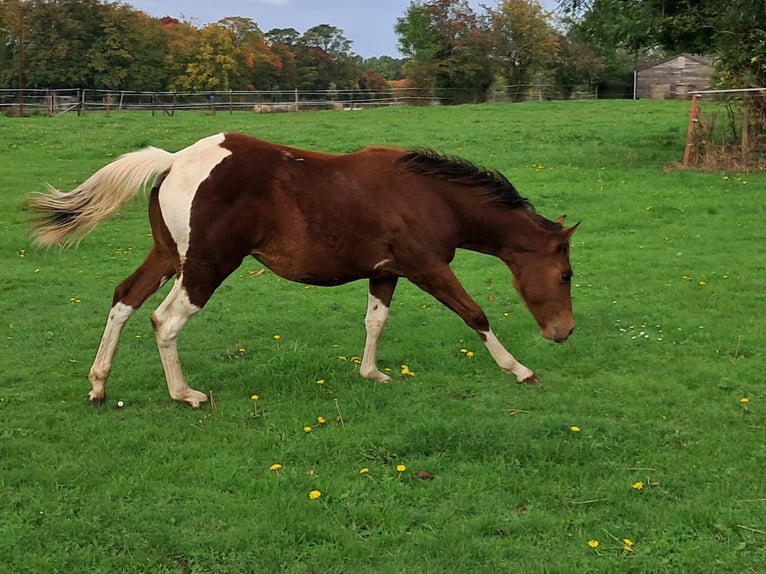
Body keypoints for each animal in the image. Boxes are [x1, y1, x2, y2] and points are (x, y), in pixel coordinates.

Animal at [28, 133, 578, 408]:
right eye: (566, 276)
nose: (564, 332)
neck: (427, 195)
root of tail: (175, 159)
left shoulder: (387, 271)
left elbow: (375, 321)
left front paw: (372, 373)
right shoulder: (428, 266)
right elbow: (474, 314)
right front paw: (521, 370)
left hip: (169, 257)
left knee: (124, 299)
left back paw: (99, 385)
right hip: (205, 266)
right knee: (165, 321)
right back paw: (186, 394)